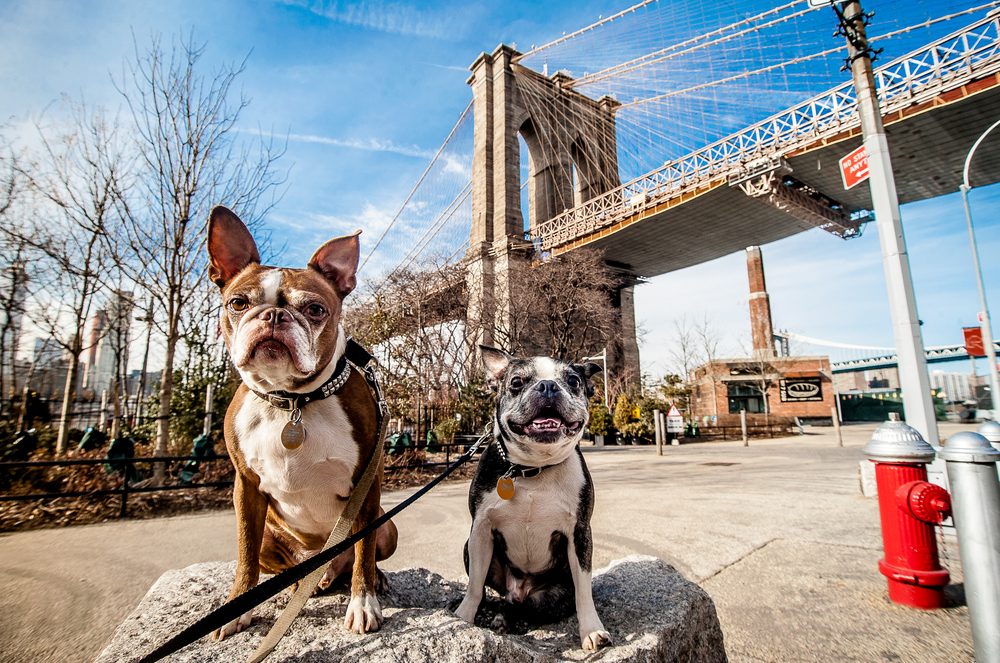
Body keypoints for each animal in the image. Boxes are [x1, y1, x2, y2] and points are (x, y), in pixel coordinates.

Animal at [208, 209, 398, 644]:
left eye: (315, 310)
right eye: (238, 303)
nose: (274, 316)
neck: (293, 403)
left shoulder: (367, 485)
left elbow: (362, 552)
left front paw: (364, 604)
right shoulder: (245, 487)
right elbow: (245, 554)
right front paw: (236, 608)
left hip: (387, 524)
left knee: (362, 556)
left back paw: (372, 580)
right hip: (271, 536)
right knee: (276, 564)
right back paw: (297, 584)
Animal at [454, 348, 608, 652]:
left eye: (573, 381)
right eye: (516, 382)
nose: (548, 386)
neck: (532, 469)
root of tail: (519, 592)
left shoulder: (580, 533)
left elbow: (584, 592)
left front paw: (592, 630)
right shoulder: (480, 531)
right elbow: (475, 584)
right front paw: (464, 616)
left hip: (555, 594)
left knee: (529, 608)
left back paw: (508, 619)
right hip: (470, 548)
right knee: (497, 597)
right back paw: (491, 613)